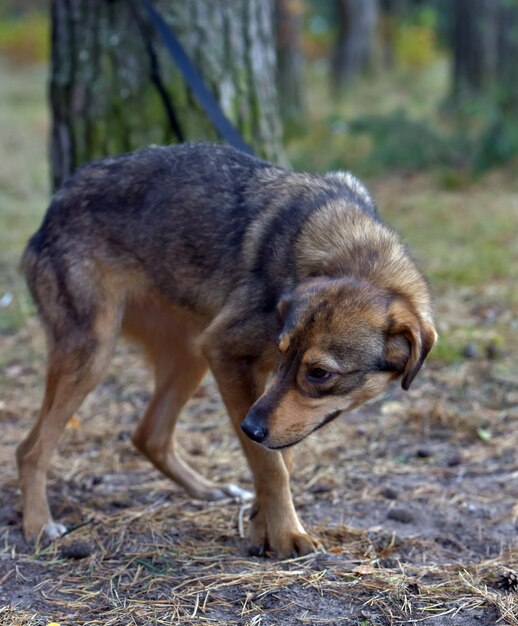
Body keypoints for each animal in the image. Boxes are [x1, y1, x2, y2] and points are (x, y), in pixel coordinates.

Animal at [17, 143, 438, 556]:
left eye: (320, 374)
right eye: (282, 353)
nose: (248, 428)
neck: (355, 253)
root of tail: (57, 202)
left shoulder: (271, 408)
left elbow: (278, 459)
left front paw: (261, 528)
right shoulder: (227, 355)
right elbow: (270, 466)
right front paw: (287, 534)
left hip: (189, 357)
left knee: (148, 436)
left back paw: (208, 489)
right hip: (96, 355)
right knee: (30, 449)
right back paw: (38, 525)